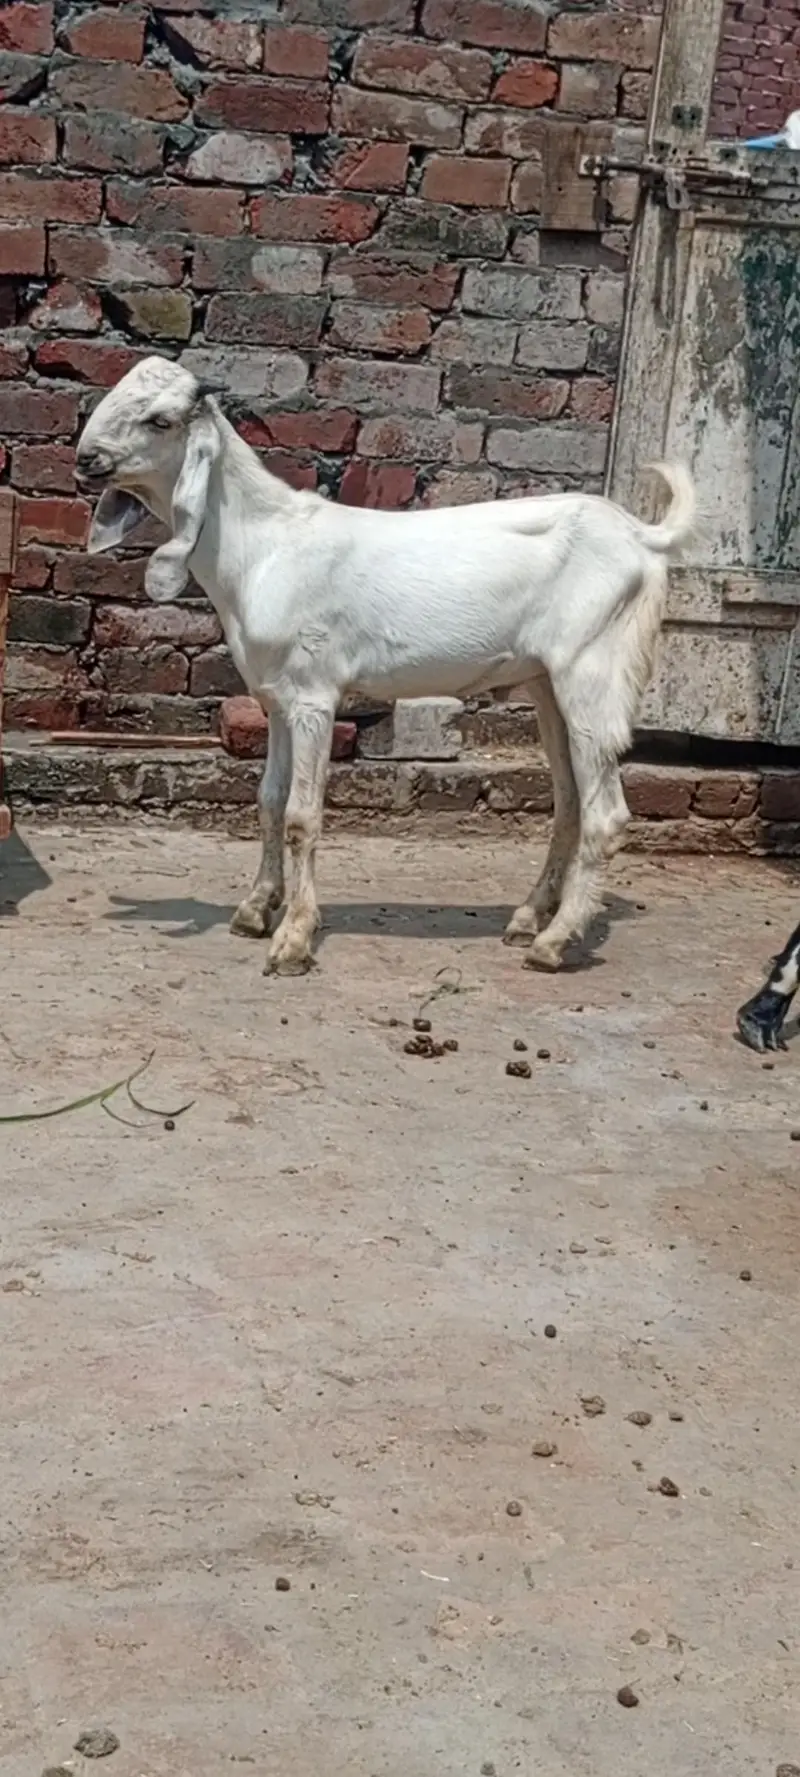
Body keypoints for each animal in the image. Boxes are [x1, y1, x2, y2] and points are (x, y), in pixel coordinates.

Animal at [76, 355, 696, 978]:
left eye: (160, 420)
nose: (85, 458)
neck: (264, 546)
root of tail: (641, 536)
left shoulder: (314, 695)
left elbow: (301, 814)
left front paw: (294, 937)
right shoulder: (275, 696)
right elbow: (269, 800)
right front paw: (255, 909)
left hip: (593, 668)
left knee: (606, 814)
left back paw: (555, 940)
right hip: (548, 683)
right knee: (569, 801)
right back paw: (527, 919)